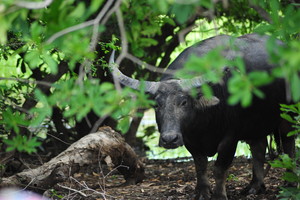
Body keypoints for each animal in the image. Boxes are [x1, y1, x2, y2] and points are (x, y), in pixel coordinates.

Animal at [108, 33, 296, 199]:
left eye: (184, 102)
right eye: (156, 105)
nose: (169, 139)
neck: (203, 124)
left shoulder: (230, 137)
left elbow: (220, 168)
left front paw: (219, 195)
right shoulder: (190, 140)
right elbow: (200, 165)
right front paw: (202, 192)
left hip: (288, 114)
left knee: (288, 144)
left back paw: (289, 183)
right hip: (255, 123)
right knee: (259, 147)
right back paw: (254, 187)